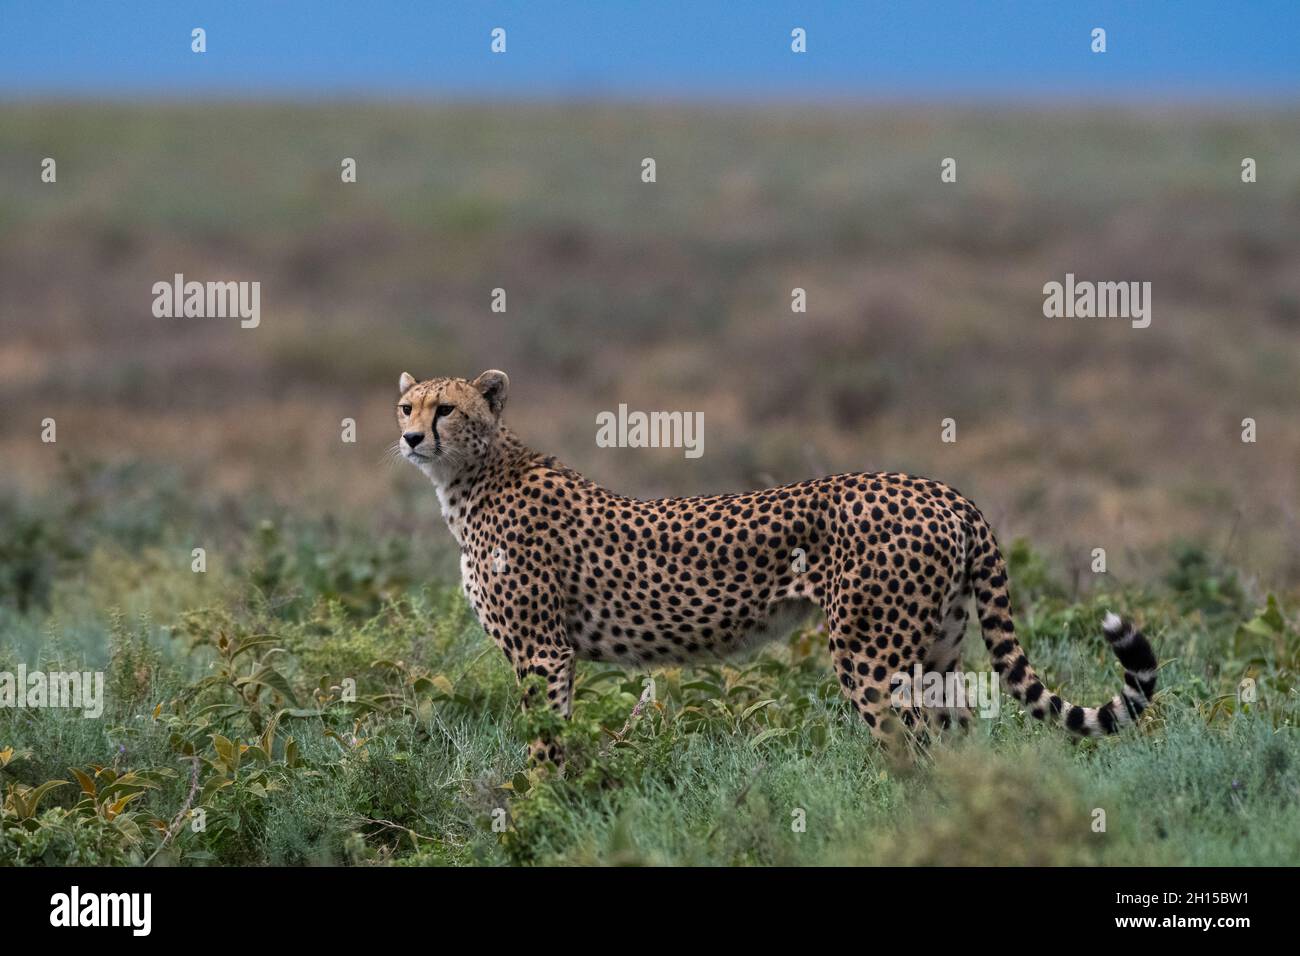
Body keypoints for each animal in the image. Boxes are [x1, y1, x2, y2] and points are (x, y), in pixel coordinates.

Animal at [392, 369, 1159, 764]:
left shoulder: (542, 653)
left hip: (871, 657)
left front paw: (538, 807)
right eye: (406, 405)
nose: (409, 438)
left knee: (909, 752)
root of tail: (941, 488)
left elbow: (543, 743)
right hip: (937, 650)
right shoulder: (551, 655)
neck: (473, 476)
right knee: (960, 744)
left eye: (447, 409)